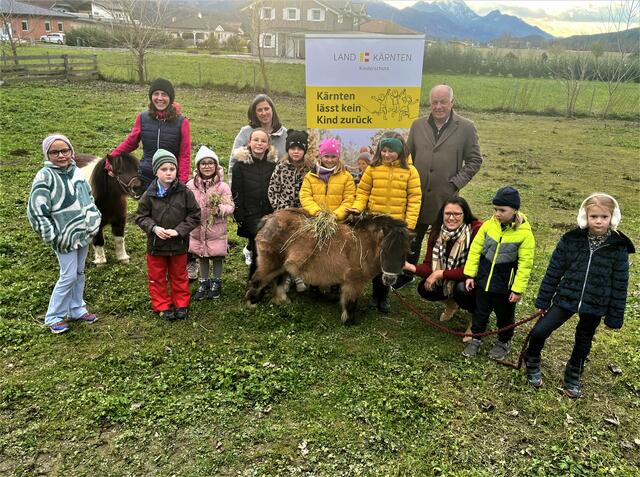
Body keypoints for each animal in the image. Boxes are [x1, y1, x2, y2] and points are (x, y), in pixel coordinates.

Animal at [245, 211, 410, 326]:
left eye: (405, 253)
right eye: (384, 250)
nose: (389, 279)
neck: (362, 244)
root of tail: (268, 219)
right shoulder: (353, 282)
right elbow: (350, 302)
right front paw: (349, 321)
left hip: (281, 266)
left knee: (278, 280)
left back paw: (282, 300)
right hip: (270, 264)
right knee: (257, 281)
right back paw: (251, 303)